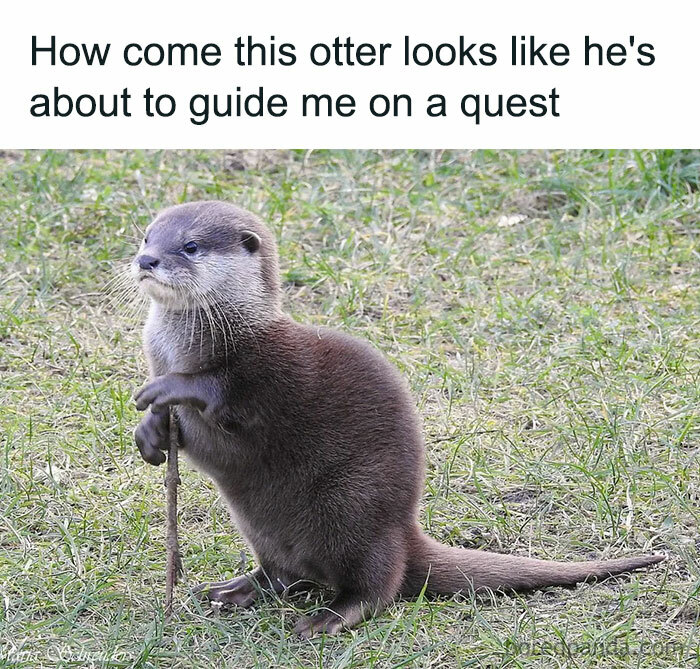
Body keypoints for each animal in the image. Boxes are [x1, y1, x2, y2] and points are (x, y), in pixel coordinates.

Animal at [132, 201, 663, 638]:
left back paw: (329, 617)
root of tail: (405, 533)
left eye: (190, 246)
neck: (193, 342)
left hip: (354, 507)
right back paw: (231, 590)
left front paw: (170, 388)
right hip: (265, 527)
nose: (146, 260)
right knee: (282, 574)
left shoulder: (268, 369)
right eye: (146, 236)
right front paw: (150, 433)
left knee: (376, 586)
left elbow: (223, 393)